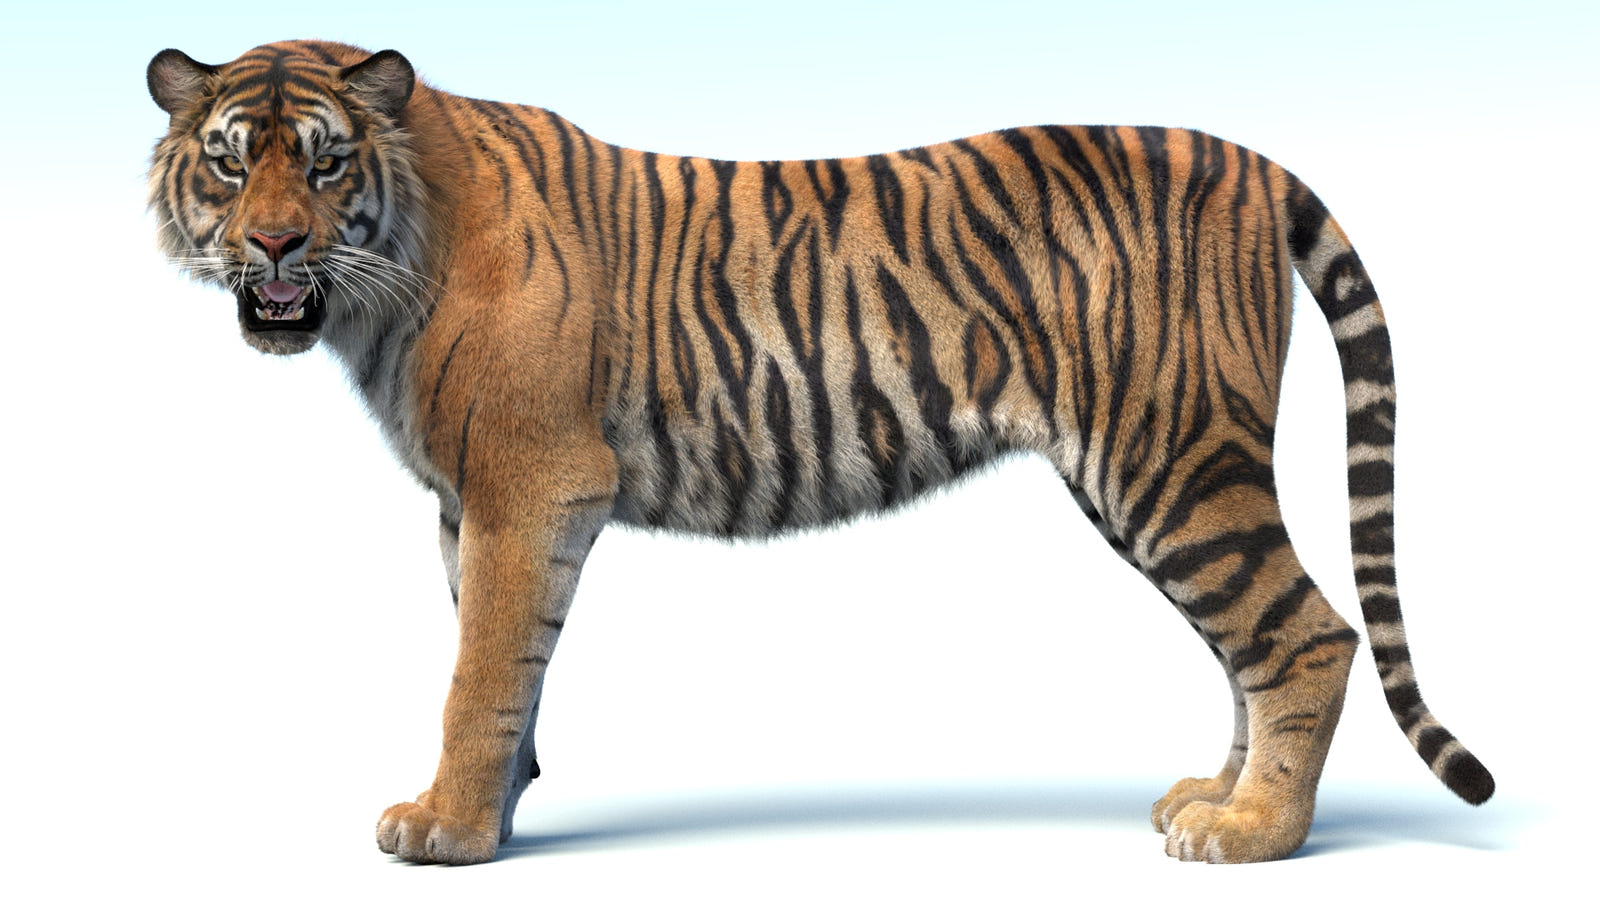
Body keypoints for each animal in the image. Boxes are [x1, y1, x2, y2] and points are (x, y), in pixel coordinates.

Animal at [146, 39, 1493, 865]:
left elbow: (478, 673)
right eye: (229, 160)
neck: (383, 278)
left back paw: (1255, 833)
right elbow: (503, 658)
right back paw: (1215, 796)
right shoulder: (466, 504)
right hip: (1148, 481)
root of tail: (1245, 158)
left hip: (1171, 457)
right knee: (1246, 645)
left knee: (1306, 633)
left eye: (325, 162)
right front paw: (501, 805)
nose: (273, 244)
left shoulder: (528, 484)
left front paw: (451, 832)